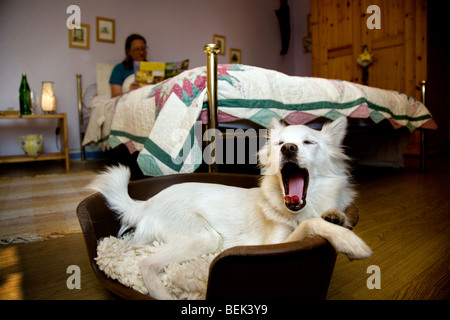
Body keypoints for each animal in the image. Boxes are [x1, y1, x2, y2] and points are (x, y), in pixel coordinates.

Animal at [89, 116, 370, 298]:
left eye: (309, 143)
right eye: (280, 144)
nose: (288, 149)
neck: (297, 209)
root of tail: (147, 203)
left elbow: (320, 218)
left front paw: (335, 217)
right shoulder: (273, 244)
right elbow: (312, 224)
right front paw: (349, 241)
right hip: (205, 237)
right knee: (146, 264)